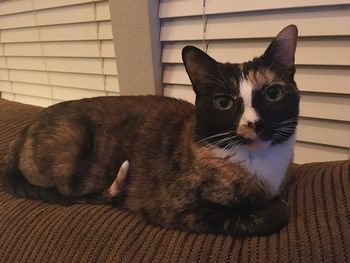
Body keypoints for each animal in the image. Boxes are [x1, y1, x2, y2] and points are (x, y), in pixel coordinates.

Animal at [1, 24, 300, 237]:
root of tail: (18, 140)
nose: (254, 123)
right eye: (223, 102)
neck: (255, 161)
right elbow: (274, 213)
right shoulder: (176, 209)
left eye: (273, 94)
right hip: (73, 144)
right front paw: (273, 207)